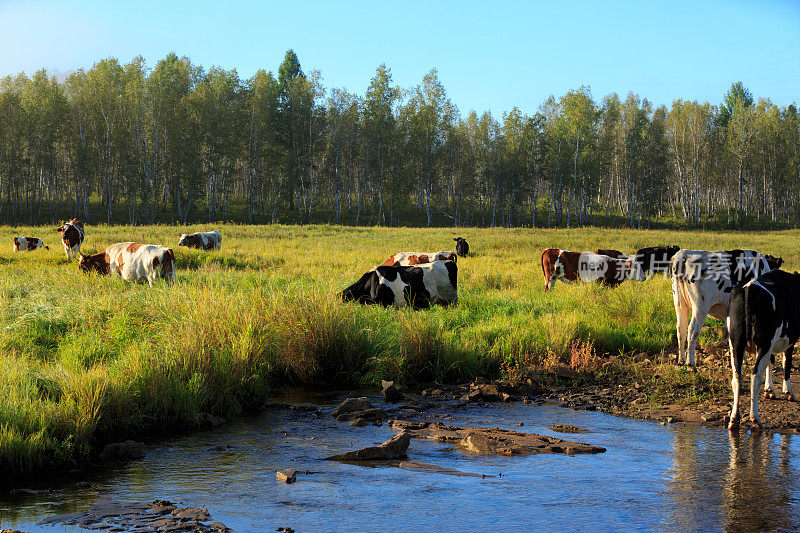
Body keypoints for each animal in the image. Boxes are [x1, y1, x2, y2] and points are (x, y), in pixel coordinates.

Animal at [728, 270, 796, 428]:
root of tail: (749, 288)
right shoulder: (789, 340)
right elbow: (786, 363)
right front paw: (787, 392)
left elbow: (770, 362)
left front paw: (769, 390)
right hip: (764, 342)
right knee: (755, 376)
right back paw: (755, 418)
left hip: (735, 342)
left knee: (736, 377)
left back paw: (734, 418)